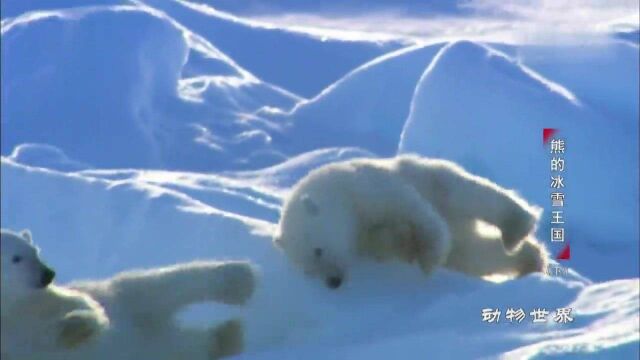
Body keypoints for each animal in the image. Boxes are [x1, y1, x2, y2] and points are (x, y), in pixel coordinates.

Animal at [2, 229, 258, 358]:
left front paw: (78, 325)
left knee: (162, 285)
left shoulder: (51, 299)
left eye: (36, 251)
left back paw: (238, 279)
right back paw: (226, 335)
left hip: (125, 298)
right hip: (158, 343)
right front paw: (72, 329)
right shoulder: (16, 338)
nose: (48, 274)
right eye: (16, 258)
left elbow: (88, 306)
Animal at [272, 155, 548, 290]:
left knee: (475, 196)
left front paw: (429, 259)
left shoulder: (370, 188)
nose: (332, 282)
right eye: (307, 269)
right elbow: (387, 242)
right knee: (478, 255)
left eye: (318, 250)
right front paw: (404, 246)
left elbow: (417, 213)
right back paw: (530, 259)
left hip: (435, 178)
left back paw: (517, 228)